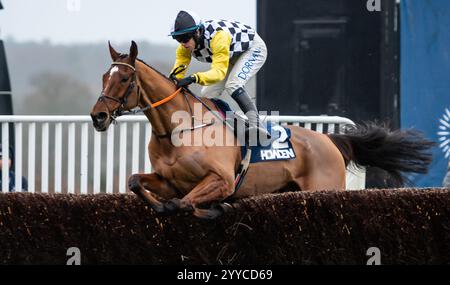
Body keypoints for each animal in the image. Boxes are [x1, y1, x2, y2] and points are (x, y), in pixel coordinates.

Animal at [90, 40, 432, 217]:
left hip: (326, 189)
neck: (178, 132)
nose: (98, 116)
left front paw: (217, 209)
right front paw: (164, 207)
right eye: (104, 77)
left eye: (124, 78)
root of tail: (329, 140)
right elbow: (137, 182)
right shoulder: (168, 181)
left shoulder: (221, 180)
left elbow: (185, 203)